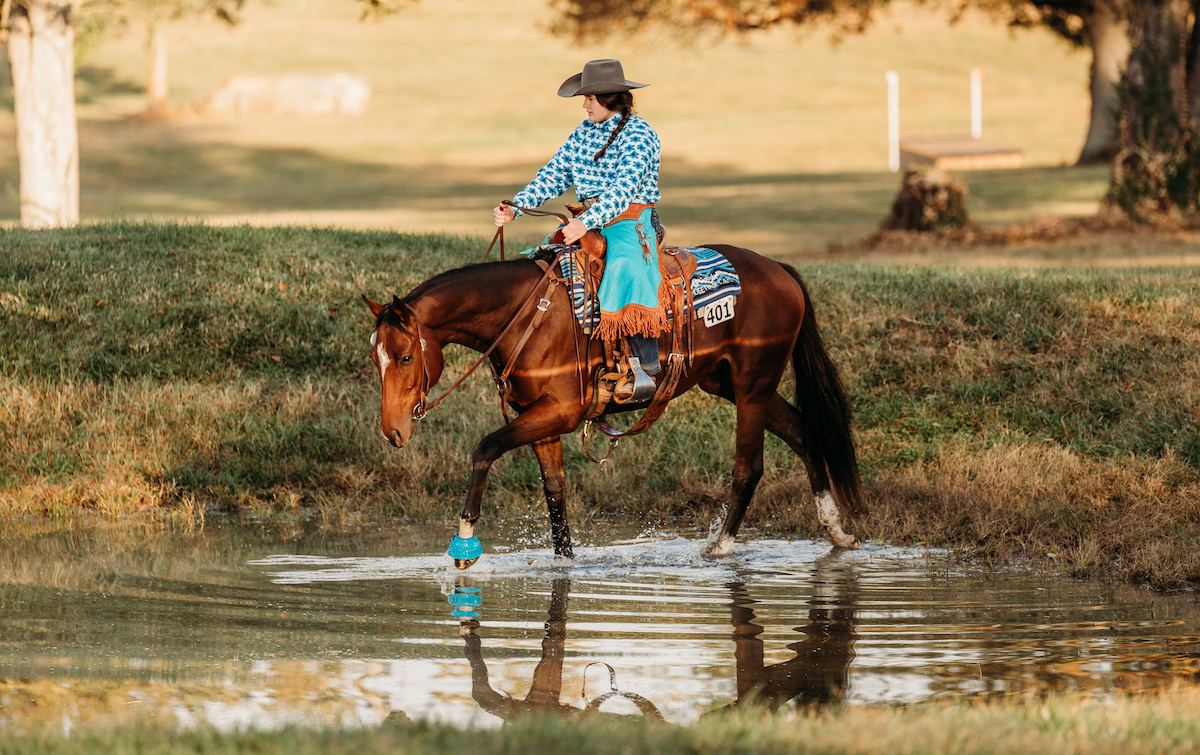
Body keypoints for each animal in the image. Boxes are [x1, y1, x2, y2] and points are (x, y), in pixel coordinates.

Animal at [364, 240, 864, 566]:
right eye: (376, 357)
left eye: (405, 356)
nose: (393, 431)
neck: (528, 315)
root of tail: (780, 270)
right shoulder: (539, 420)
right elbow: (555, 492)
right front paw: (565, 561)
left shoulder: (559, 412)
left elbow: (485, 447)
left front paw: (465, 541)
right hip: (731, 384)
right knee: (804, 434)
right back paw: (838, 532)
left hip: (752, 385)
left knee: (750, 466)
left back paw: (720, 548)